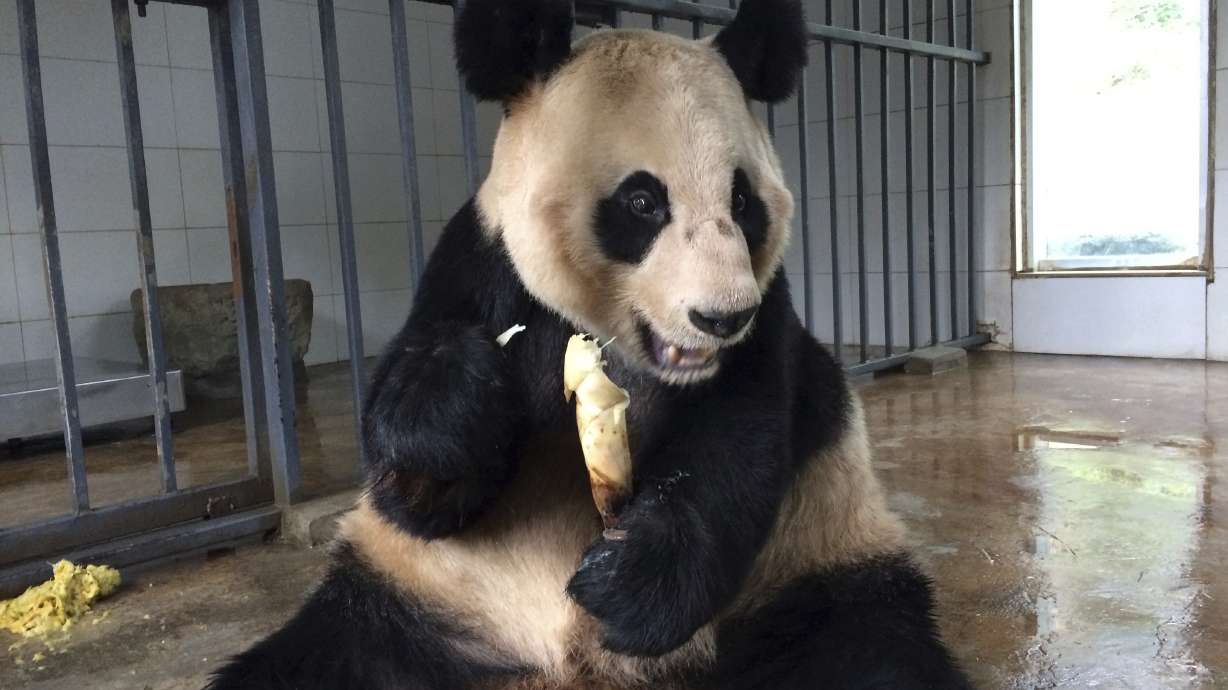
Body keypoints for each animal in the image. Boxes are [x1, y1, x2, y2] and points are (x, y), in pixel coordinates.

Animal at [208, 0, 972, 688]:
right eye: (642, 202)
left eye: (743, 201)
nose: (721, 317)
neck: (615, 343)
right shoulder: (481, 267)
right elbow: (422, 484)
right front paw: (458, 402)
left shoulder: (769, 325)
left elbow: (738, 448)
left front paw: (623, 582)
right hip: (408, 598)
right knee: (322, 656)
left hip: (810, 562)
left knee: (863, 647)